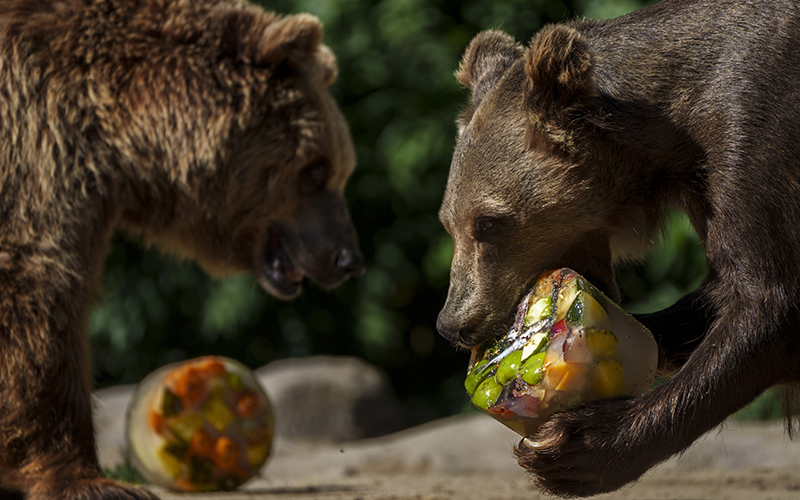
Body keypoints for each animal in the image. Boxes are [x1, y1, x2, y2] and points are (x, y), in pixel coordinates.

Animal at [0, 0, 362, 500]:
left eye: (341, 168)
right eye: (316, 168)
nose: (347, 259)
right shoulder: (36, 136)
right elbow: (36, 285)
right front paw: (96, 481)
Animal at [438, 0, 800, 498]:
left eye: (489, 222)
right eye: (448, 223)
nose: (453, 323)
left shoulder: (756, 131)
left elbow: (769, 303)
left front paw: (577, 449)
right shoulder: (707, 187)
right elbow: (718, 292)